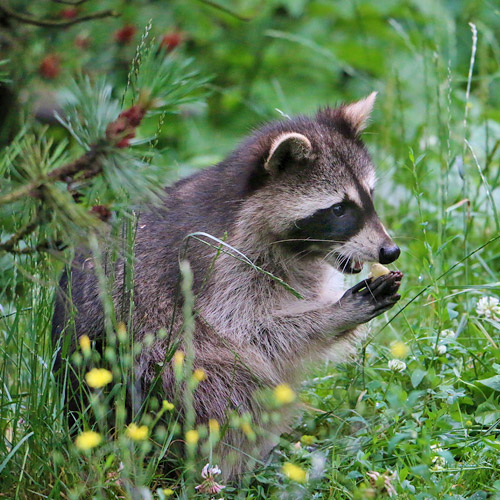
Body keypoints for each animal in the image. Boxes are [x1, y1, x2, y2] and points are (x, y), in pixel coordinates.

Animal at [52, 93, 402, 480]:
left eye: (370, 196)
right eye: (339, 209)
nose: (390, 251)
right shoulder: (220, 265)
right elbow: (251, 335)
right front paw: (333, 314)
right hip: (145, 376)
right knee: (217, 382)